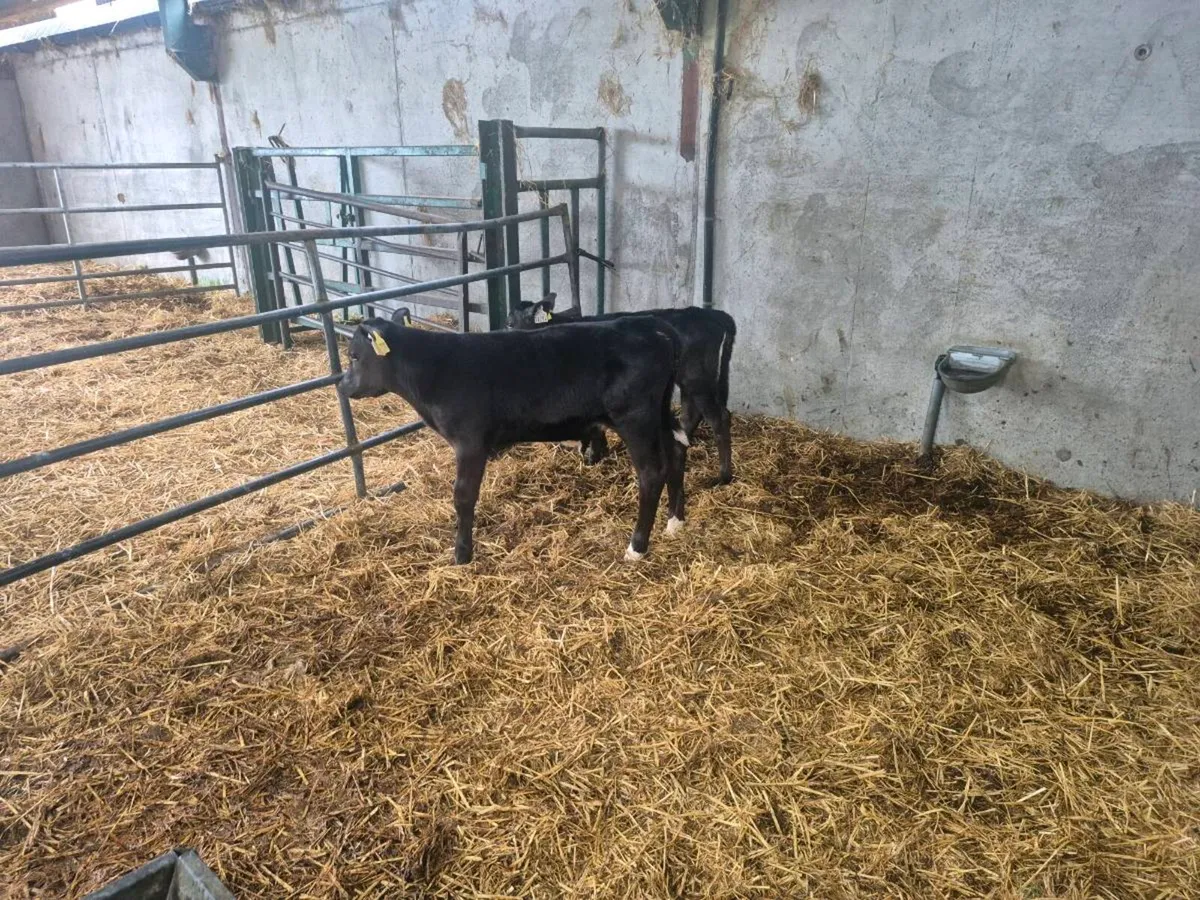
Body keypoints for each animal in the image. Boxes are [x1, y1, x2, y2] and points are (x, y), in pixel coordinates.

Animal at [337, 314, 689, 565]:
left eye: (354, 356)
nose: (342, 385)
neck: (433, 371)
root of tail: (651, 326)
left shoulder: (470, 442)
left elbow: (463, 496)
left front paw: (462, 554)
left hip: (634, 418)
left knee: (651, 473)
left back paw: (637, 547)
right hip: (658, 412)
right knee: (676, 452)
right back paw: (675, 521)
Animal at [507, 294, 736, 484]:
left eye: (510, 323)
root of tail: (709, 314)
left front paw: (592, 456)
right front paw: (597, 453)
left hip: (697, 378)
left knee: (719, 418)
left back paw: (722, 477)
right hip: (688, 379)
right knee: (691, 414)